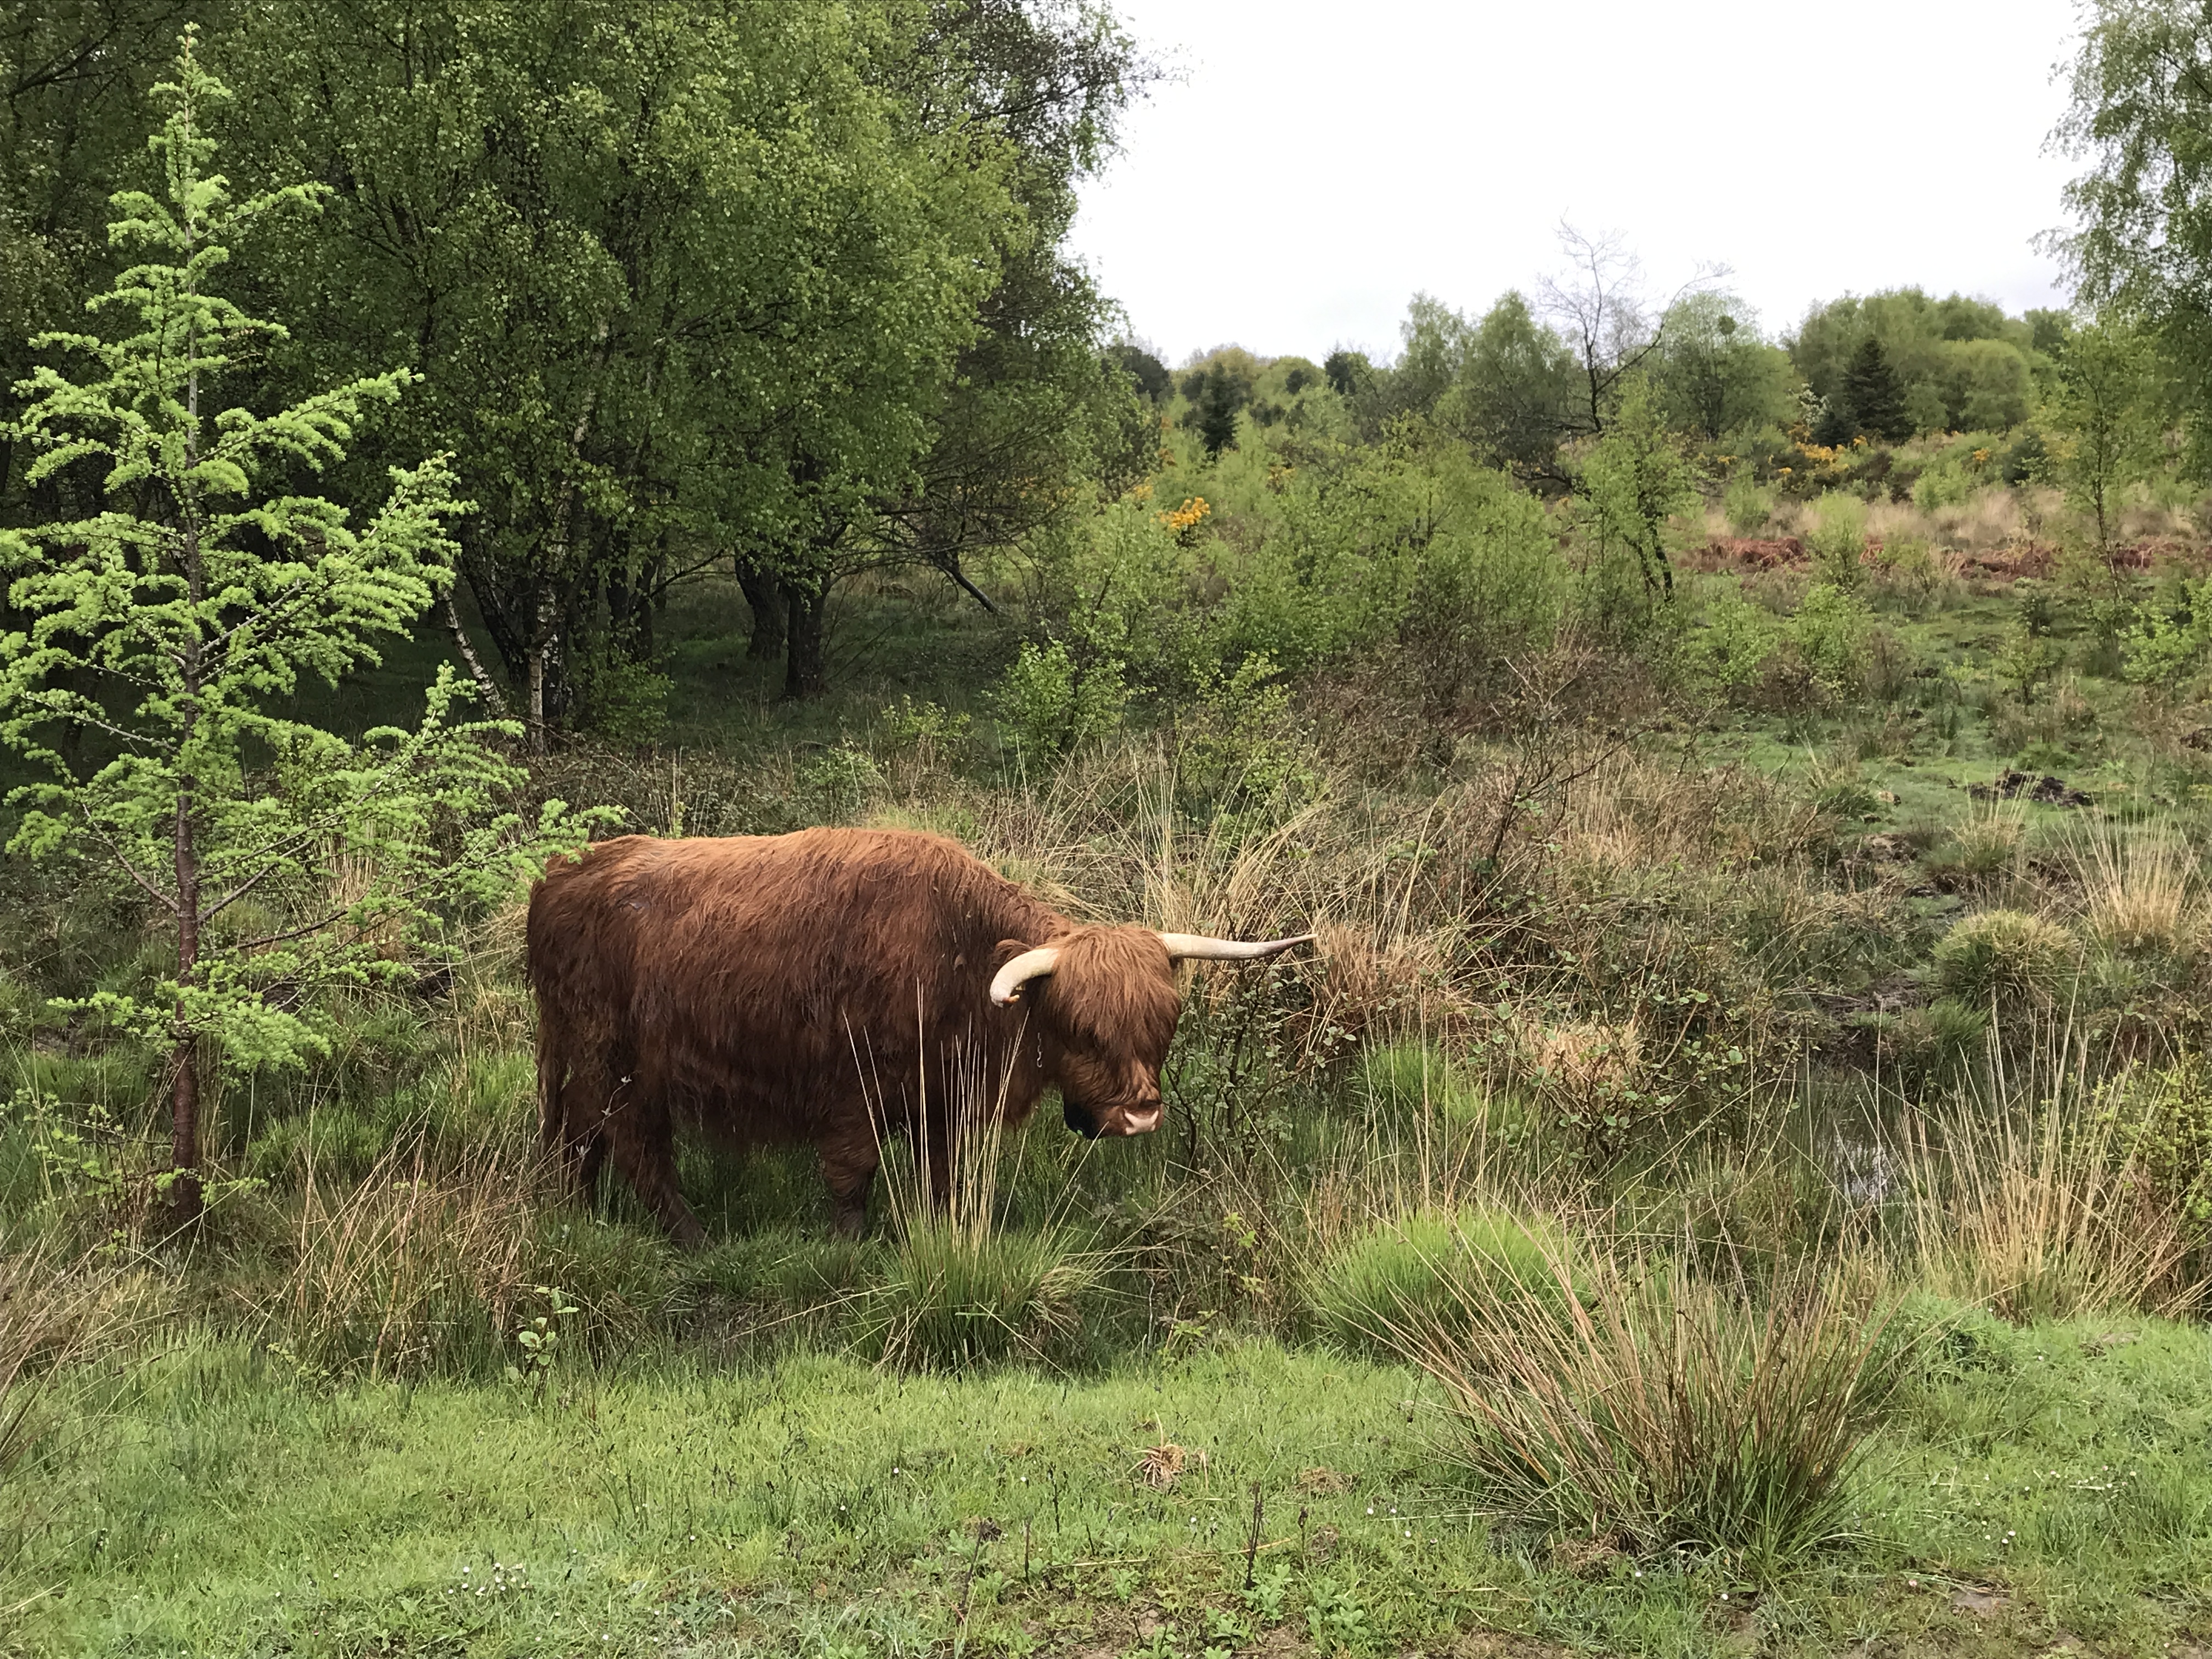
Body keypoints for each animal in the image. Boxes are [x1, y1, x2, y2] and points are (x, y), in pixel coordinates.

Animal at [526, 828, 1312, 1244]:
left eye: (1164, 1023)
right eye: (1083, 1027)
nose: (1141, 1115)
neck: (956, 960)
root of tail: (564, 870)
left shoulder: (947, 1104)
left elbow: (945, 1179)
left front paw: (945, 1234)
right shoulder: (854, 1091)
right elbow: (852, 1177)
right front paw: (849, 1246)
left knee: (580, 1141)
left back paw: (580, 1218)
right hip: (616, 1063)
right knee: (633, 1148)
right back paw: (692, 1237)